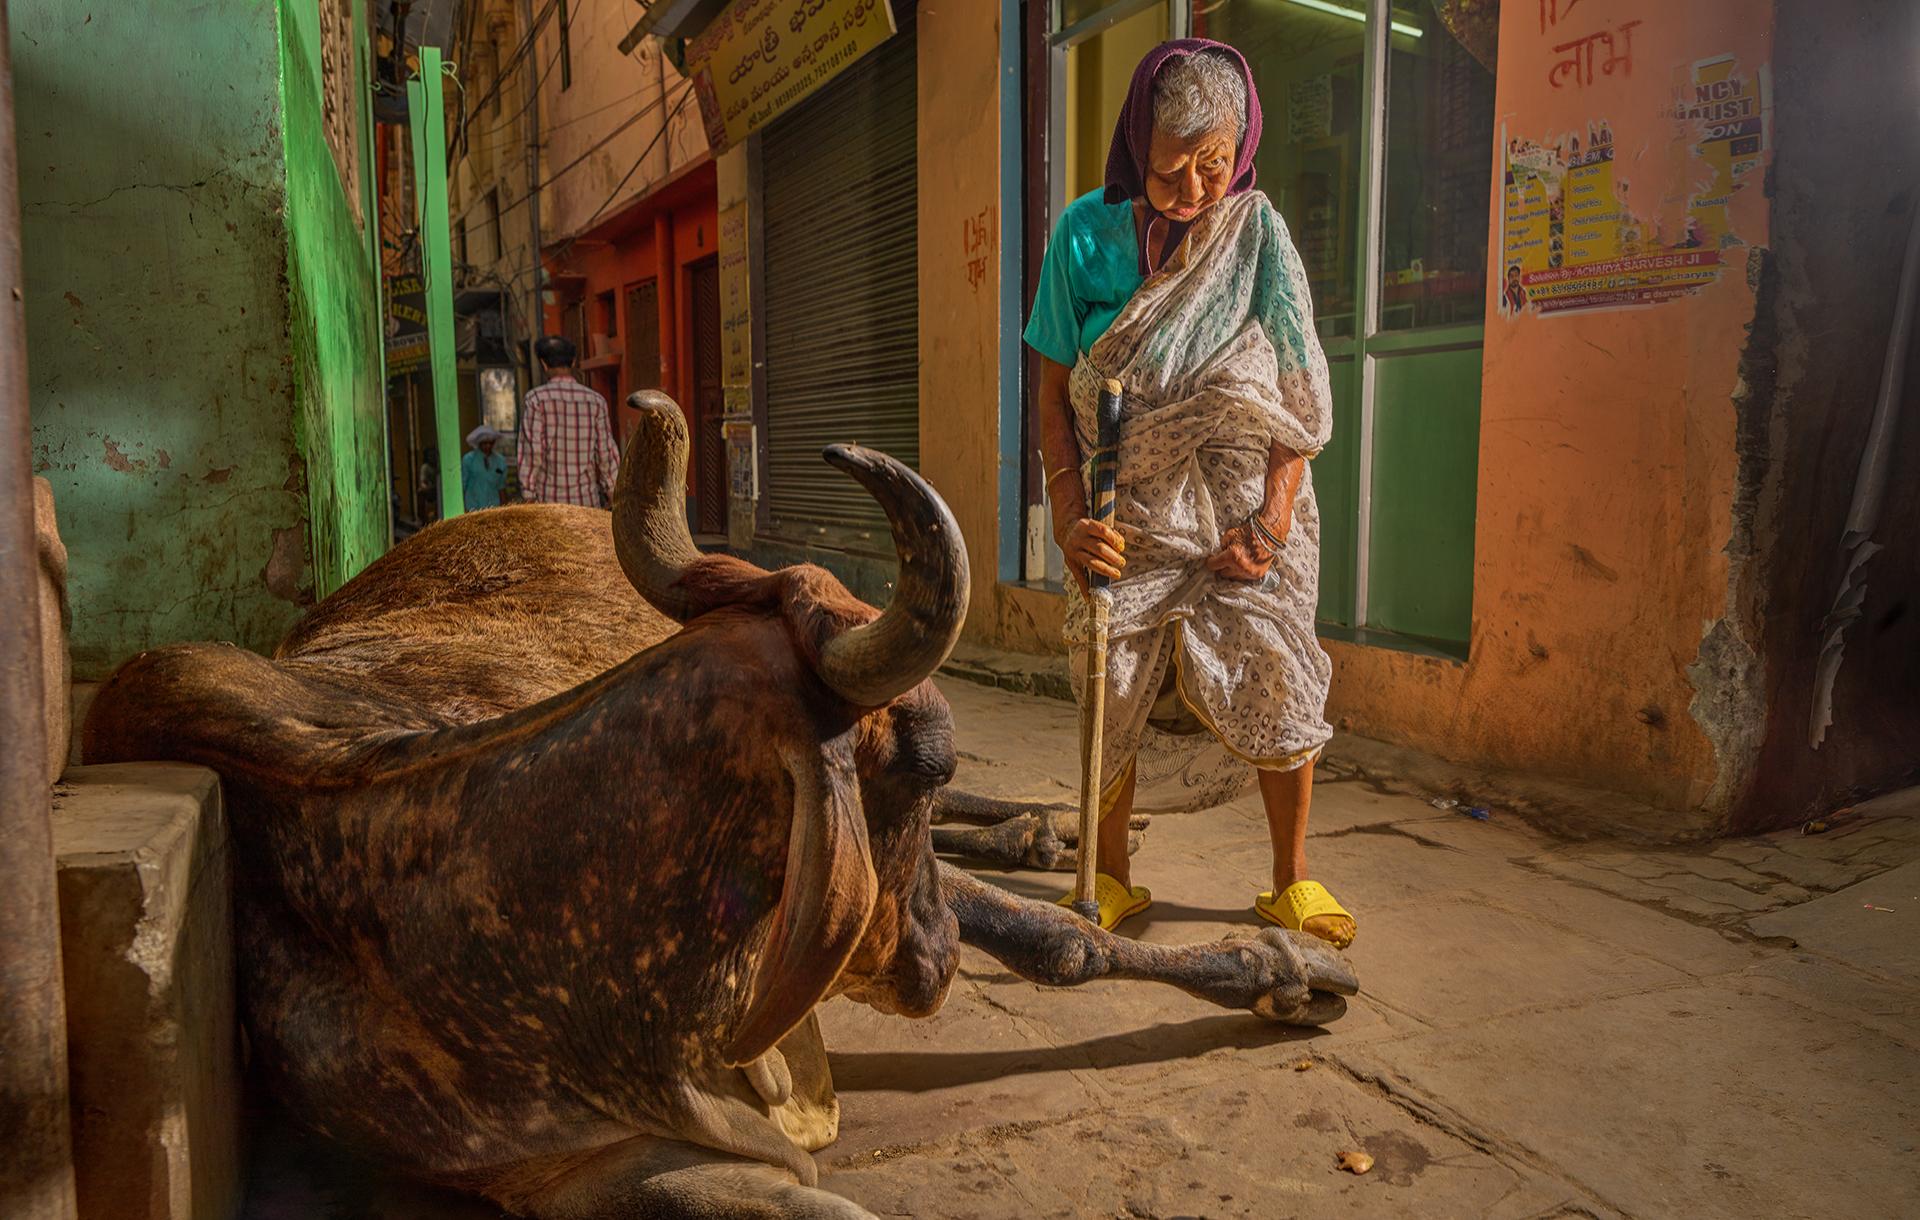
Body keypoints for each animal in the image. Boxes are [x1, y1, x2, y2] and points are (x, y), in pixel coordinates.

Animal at [82, 393, 1359, 1220]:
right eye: (919, 757)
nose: (935, 957)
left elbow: (1057, 938)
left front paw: (1280, 965)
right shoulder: (587, 1170)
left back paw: (1053, 826)